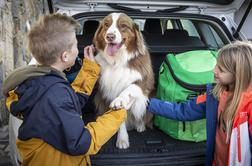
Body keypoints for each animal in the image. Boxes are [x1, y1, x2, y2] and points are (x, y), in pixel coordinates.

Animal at [94, 12, 155, 148]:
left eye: (123, 26)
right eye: (106, 25)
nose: (110, 36)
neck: (118, 61)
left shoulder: (143, 81)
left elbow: (130, 88)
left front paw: (119, 100)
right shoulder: (109, 90)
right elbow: (119, 118)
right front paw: (122, 139)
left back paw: (140, 126)